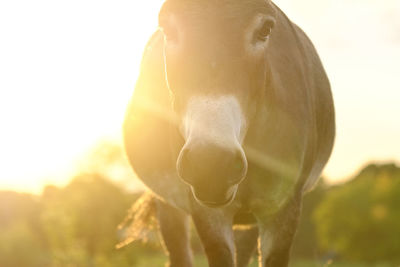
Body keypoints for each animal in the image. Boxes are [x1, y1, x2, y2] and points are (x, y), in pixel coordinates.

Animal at [122, 1, 334, 266]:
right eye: (167, 29)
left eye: (265, 29)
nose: (211, 164)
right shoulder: (207, 212)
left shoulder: (284, 207)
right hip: (168, 203)